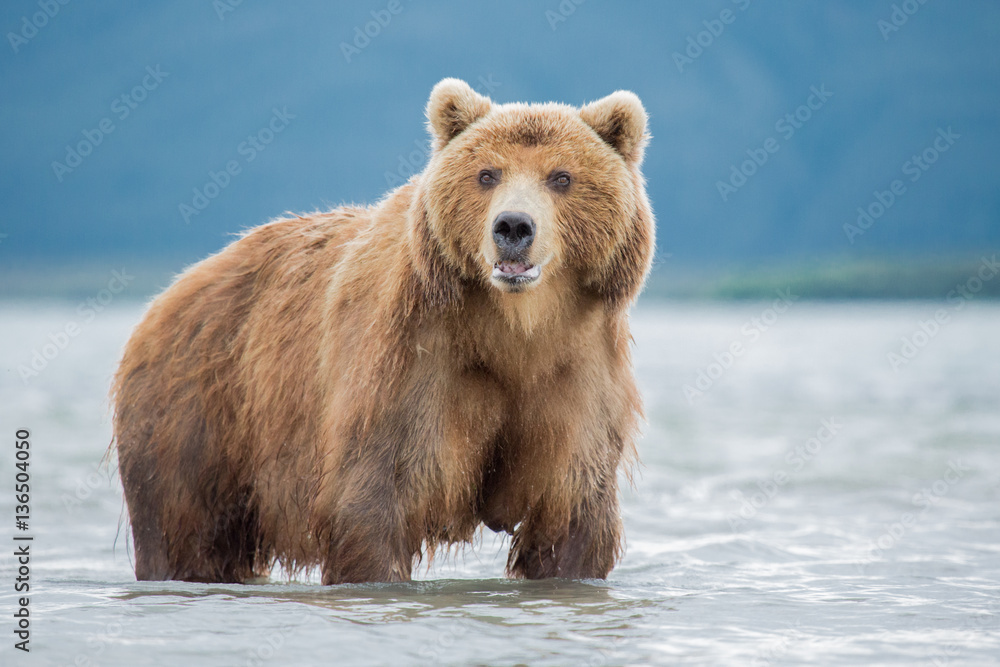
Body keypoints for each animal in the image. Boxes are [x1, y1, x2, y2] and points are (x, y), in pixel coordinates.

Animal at [112, 78, 655, 584]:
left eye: (561, 177)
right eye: (487, 174)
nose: (513, 227)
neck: (514, 329)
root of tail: (173, 290)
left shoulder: (575, 374)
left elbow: (569, 516)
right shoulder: (411, 364)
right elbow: (374, 500)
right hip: (198, 411)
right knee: (186, 533)